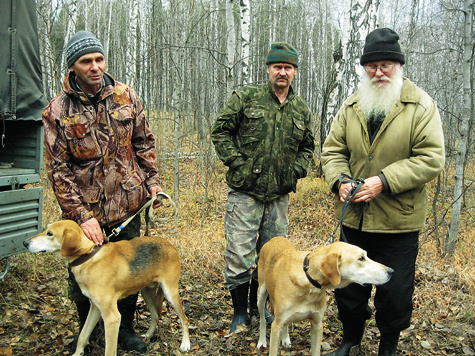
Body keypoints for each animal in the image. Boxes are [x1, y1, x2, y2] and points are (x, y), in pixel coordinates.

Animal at [21, 220, 190, 356]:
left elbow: (109, 350)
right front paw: (77, 353)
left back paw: (185, 344)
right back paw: (148, 336)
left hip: (170, 293)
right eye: (46, 229)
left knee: (184, 319)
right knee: (155, 316)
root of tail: (169, 244)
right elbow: (83, 335)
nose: (24, 243)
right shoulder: (95, 308)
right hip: (146, 292)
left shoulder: (112, 317)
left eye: (50, 233)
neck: (87, 257)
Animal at [256, 236, 394, 356]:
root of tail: (275, 238)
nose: (391, 271)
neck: (309, 281)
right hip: (261, 295)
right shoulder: (276, 326)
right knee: (262, 319)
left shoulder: (317, 324)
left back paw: (285, 338)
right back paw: (262, 341)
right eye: (361, 258)